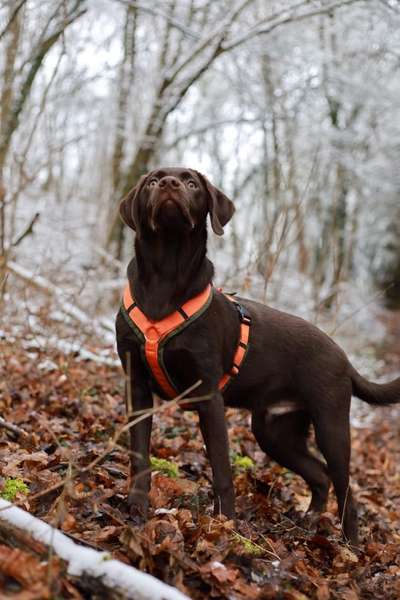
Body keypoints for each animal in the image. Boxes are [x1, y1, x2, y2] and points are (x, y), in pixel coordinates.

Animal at [115, 166, 400, 548]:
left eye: (191, 183)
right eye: (151, 182)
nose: (169, 184)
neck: (165, 276)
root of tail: (344, 357)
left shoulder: (209, 396)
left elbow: (222, 469)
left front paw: (226, 525)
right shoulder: (137, 388)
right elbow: (140, 455)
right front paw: (136, 507)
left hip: (331, 426)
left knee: (346, 488)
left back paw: (351, 545)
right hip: (274, 432)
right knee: (320, 476)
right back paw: (309, 520)